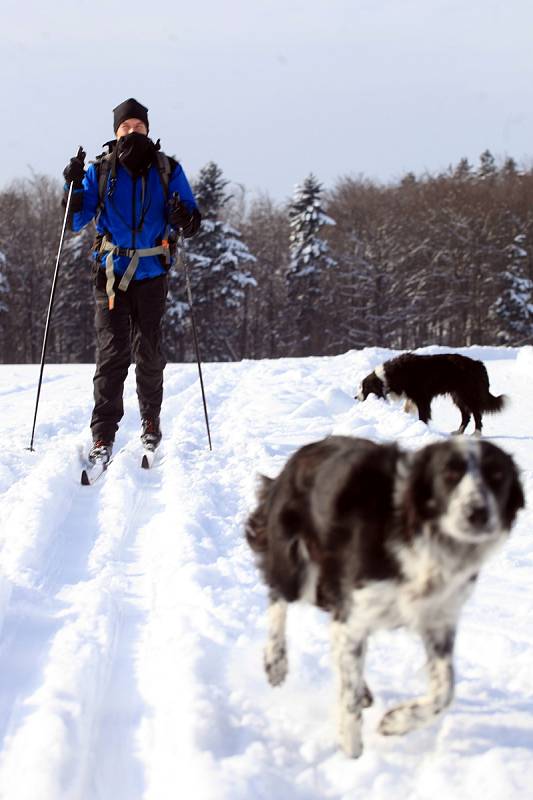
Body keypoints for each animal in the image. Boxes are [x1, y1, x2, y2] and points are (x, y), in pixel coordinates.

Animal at [246, 438, 524, 756]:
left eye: (497, 476)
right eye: (449, 474)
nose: (477, 513)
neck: (421, 536)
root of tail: (299, 455)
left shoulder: (438, 618)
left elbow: (445, 691)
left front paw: (396, 722)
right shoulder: (357, 609)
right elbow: (349, 694)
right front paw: (351, 751)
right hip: (297, 568)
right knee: (277, 594)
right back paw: (276, 663)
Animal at [358, 354, 502, 434]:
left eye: (364, 388)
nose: (356, 397)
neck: (388, 376)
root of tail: (478, 364)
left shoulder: (422, 397)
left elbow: (423, 414)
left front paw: (421, 426)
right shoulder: (413, 396)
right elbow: (407, 407)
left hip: (468, 394)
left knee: (477, 414)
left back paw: (476, 433)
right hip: (458, 396)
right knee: (466, 415)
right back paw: (458, 432)